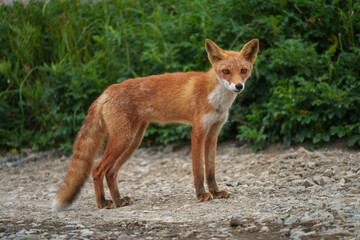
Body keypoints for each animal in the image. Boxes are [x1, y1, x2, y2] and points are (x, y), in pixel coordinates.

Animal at [51, 38, 258, 210]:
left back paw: (118, 200)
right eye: (226, 72)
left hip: (133, 141)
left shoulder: (213, 134)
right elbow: (199, 170)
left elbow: (210, 171)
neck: (216, 99)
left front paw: (215, 192)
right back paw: (103, 202)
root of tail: (107, 90)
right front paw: (201, 195)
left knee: (110, 172)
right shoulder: (198, 133)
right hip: (123, 140)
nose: (238, 86)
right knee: (97, 169)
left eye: (243, 71)